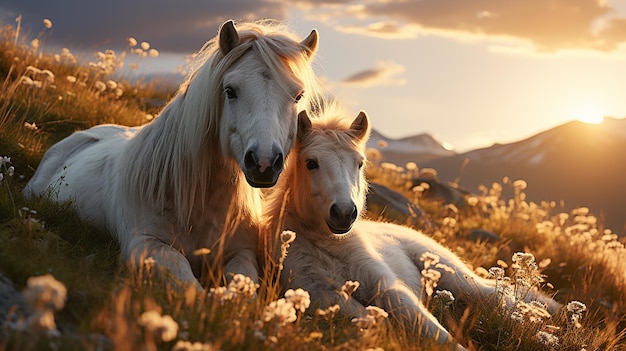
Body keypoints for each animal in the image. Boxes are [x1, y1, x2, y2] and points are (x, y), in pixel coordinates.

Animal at [23, 20, 322, 292]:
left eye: (297, 96)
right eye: (230, 90)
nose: (263, 163)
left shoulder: (243, 251)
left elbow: (242, 286)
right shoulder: (146, 244)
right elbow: (188, 285)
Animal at [260, 106, 560, 350]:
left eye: (360, 163)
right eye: (311, 163)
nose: (343, 213)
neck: (329, 246)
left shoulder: (388, 286)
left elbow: (428, 327)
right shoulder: (321, 294)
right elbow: (375, 321)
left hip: (453, 275)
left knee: (500, 296)